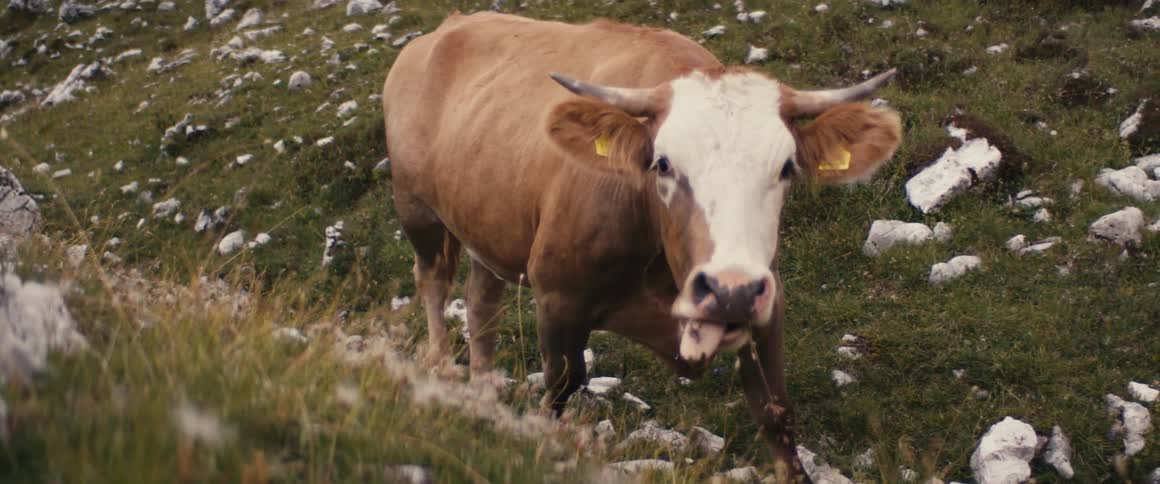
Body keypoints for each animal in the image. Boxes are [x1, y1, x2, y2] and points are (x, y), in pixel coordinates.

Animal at [382, 11, 901, 481]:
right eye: (663, 163)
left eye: (787, 167)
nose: (728, 290)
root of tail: (444, 27)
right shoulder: (557, 297)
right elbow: (561, 388)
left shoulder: (766, 305)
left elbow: (776, 414)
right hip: (417, 209)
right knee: (433, 281)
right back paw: (444, 368)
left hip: (487, 221)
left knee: (481, 303)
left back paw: (482, 394)